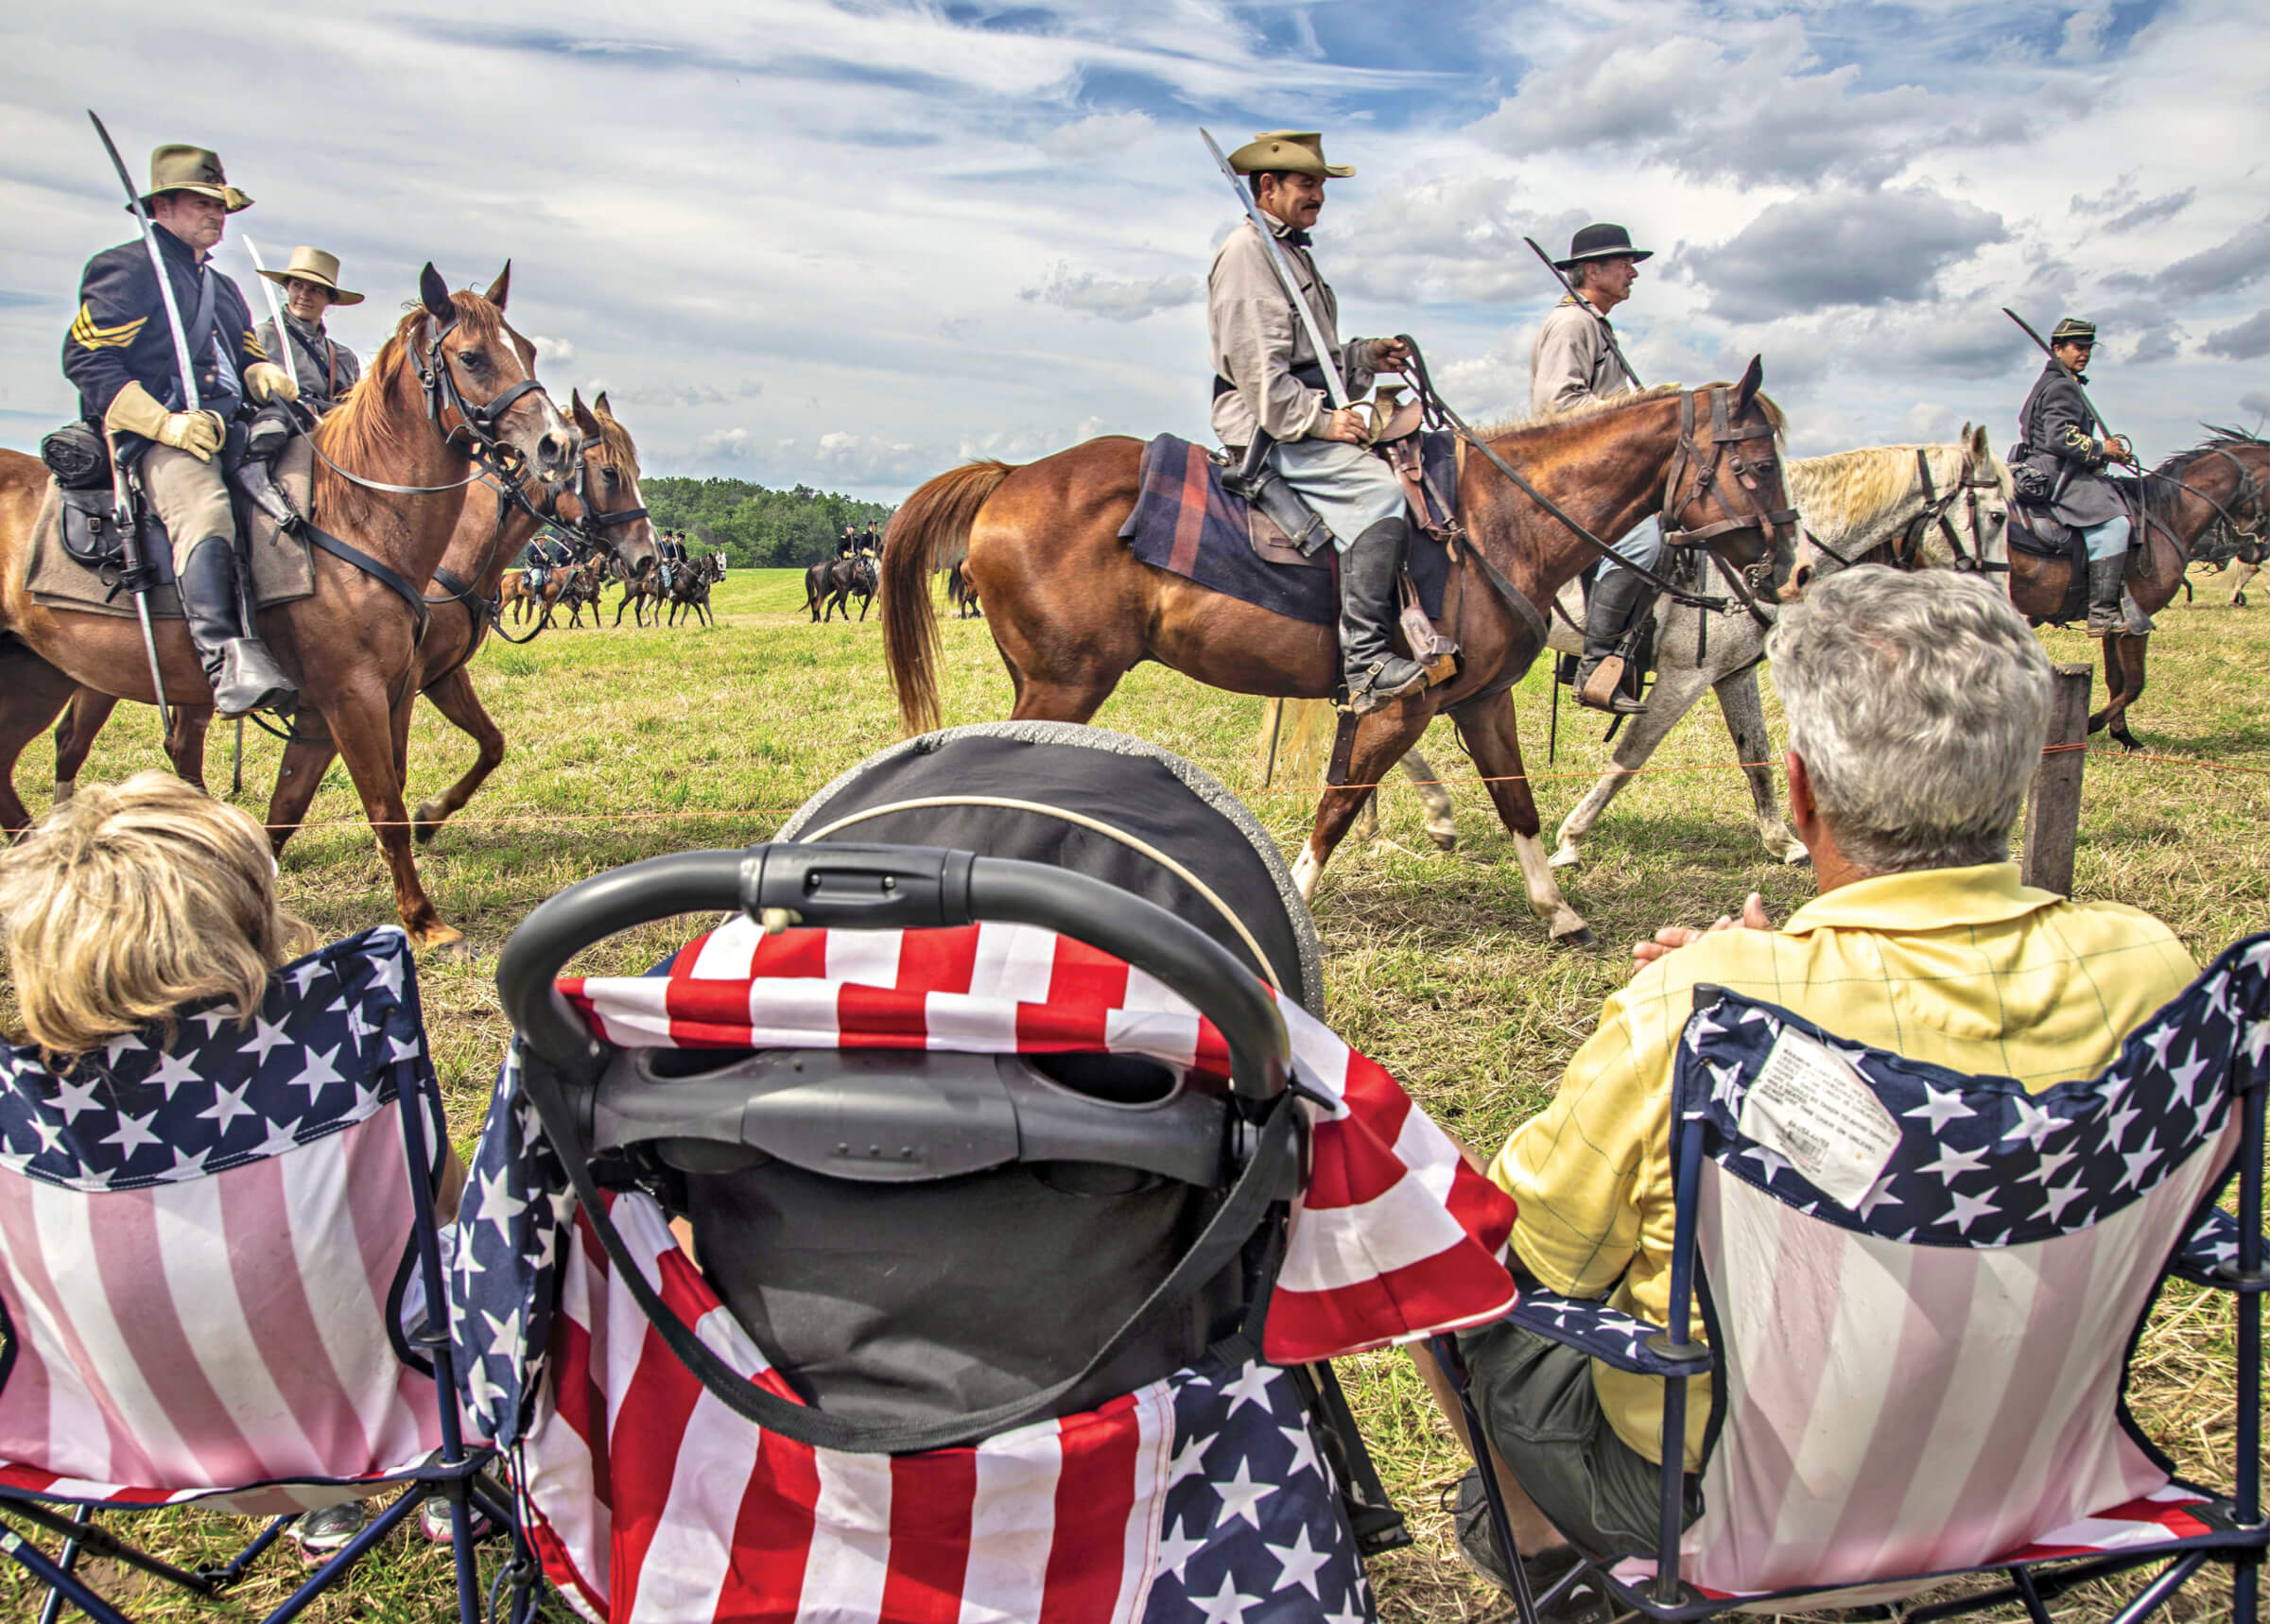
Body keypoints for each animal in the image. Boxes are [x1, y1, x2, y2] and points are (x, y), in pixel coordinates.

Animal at [4, 263, 572, 952]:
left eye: (530, 350)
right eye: (471, 356)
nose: (557, 444)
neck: (357, 516)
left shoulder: (355, 700)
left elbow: (289, 807)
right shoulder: (351, 696)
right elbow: (385, 804)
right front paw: (426, 923)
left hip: (36, 676)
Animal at [880, 355, 1788, 939]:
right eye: (1755, 463)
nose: (1787, 569)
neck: (1494, 520)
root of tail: (1011, 476)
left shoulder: (1479, 700)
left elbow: (1514, 797)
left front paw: (1555, 907)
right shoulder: (1402, 703)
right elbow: (1341, 801)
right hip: (1064, 685)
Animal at [1271, 428, 2016, 861]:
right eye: (1999, 513)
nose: (2005, 602)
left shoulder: (1731, 674)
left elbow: (1755, 757)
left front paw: (1782, 841)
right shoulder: (1685, 677)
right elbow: (1630, 756)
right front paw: (1570, 839)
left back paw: (1417, 817)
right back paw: (1432, 814)